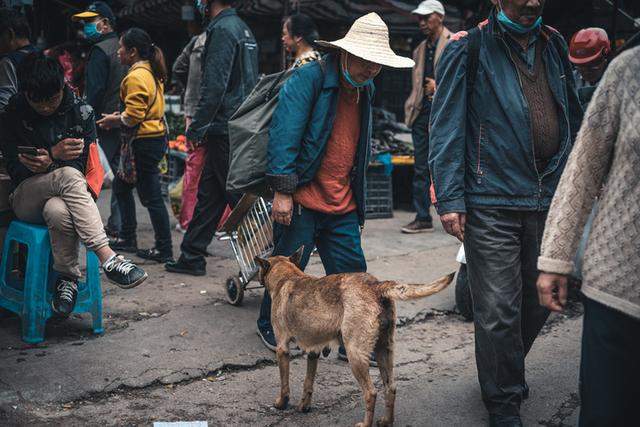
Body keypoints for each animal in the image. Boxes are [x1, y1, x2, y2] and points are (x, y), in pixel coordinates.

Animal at [255, 247, 456, 427]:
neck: (287, 276)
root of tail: (376, 285)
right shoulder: (314, 351)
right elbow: (308, 383)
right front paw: (304, 406)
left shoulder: (282, 349)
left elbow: (284, 383)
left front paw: (281, 403)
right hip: (384, 351)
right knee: (390, 387)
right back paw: (386, 421)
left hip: (355, 355)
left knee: (371, 393)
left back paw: (366, 423)